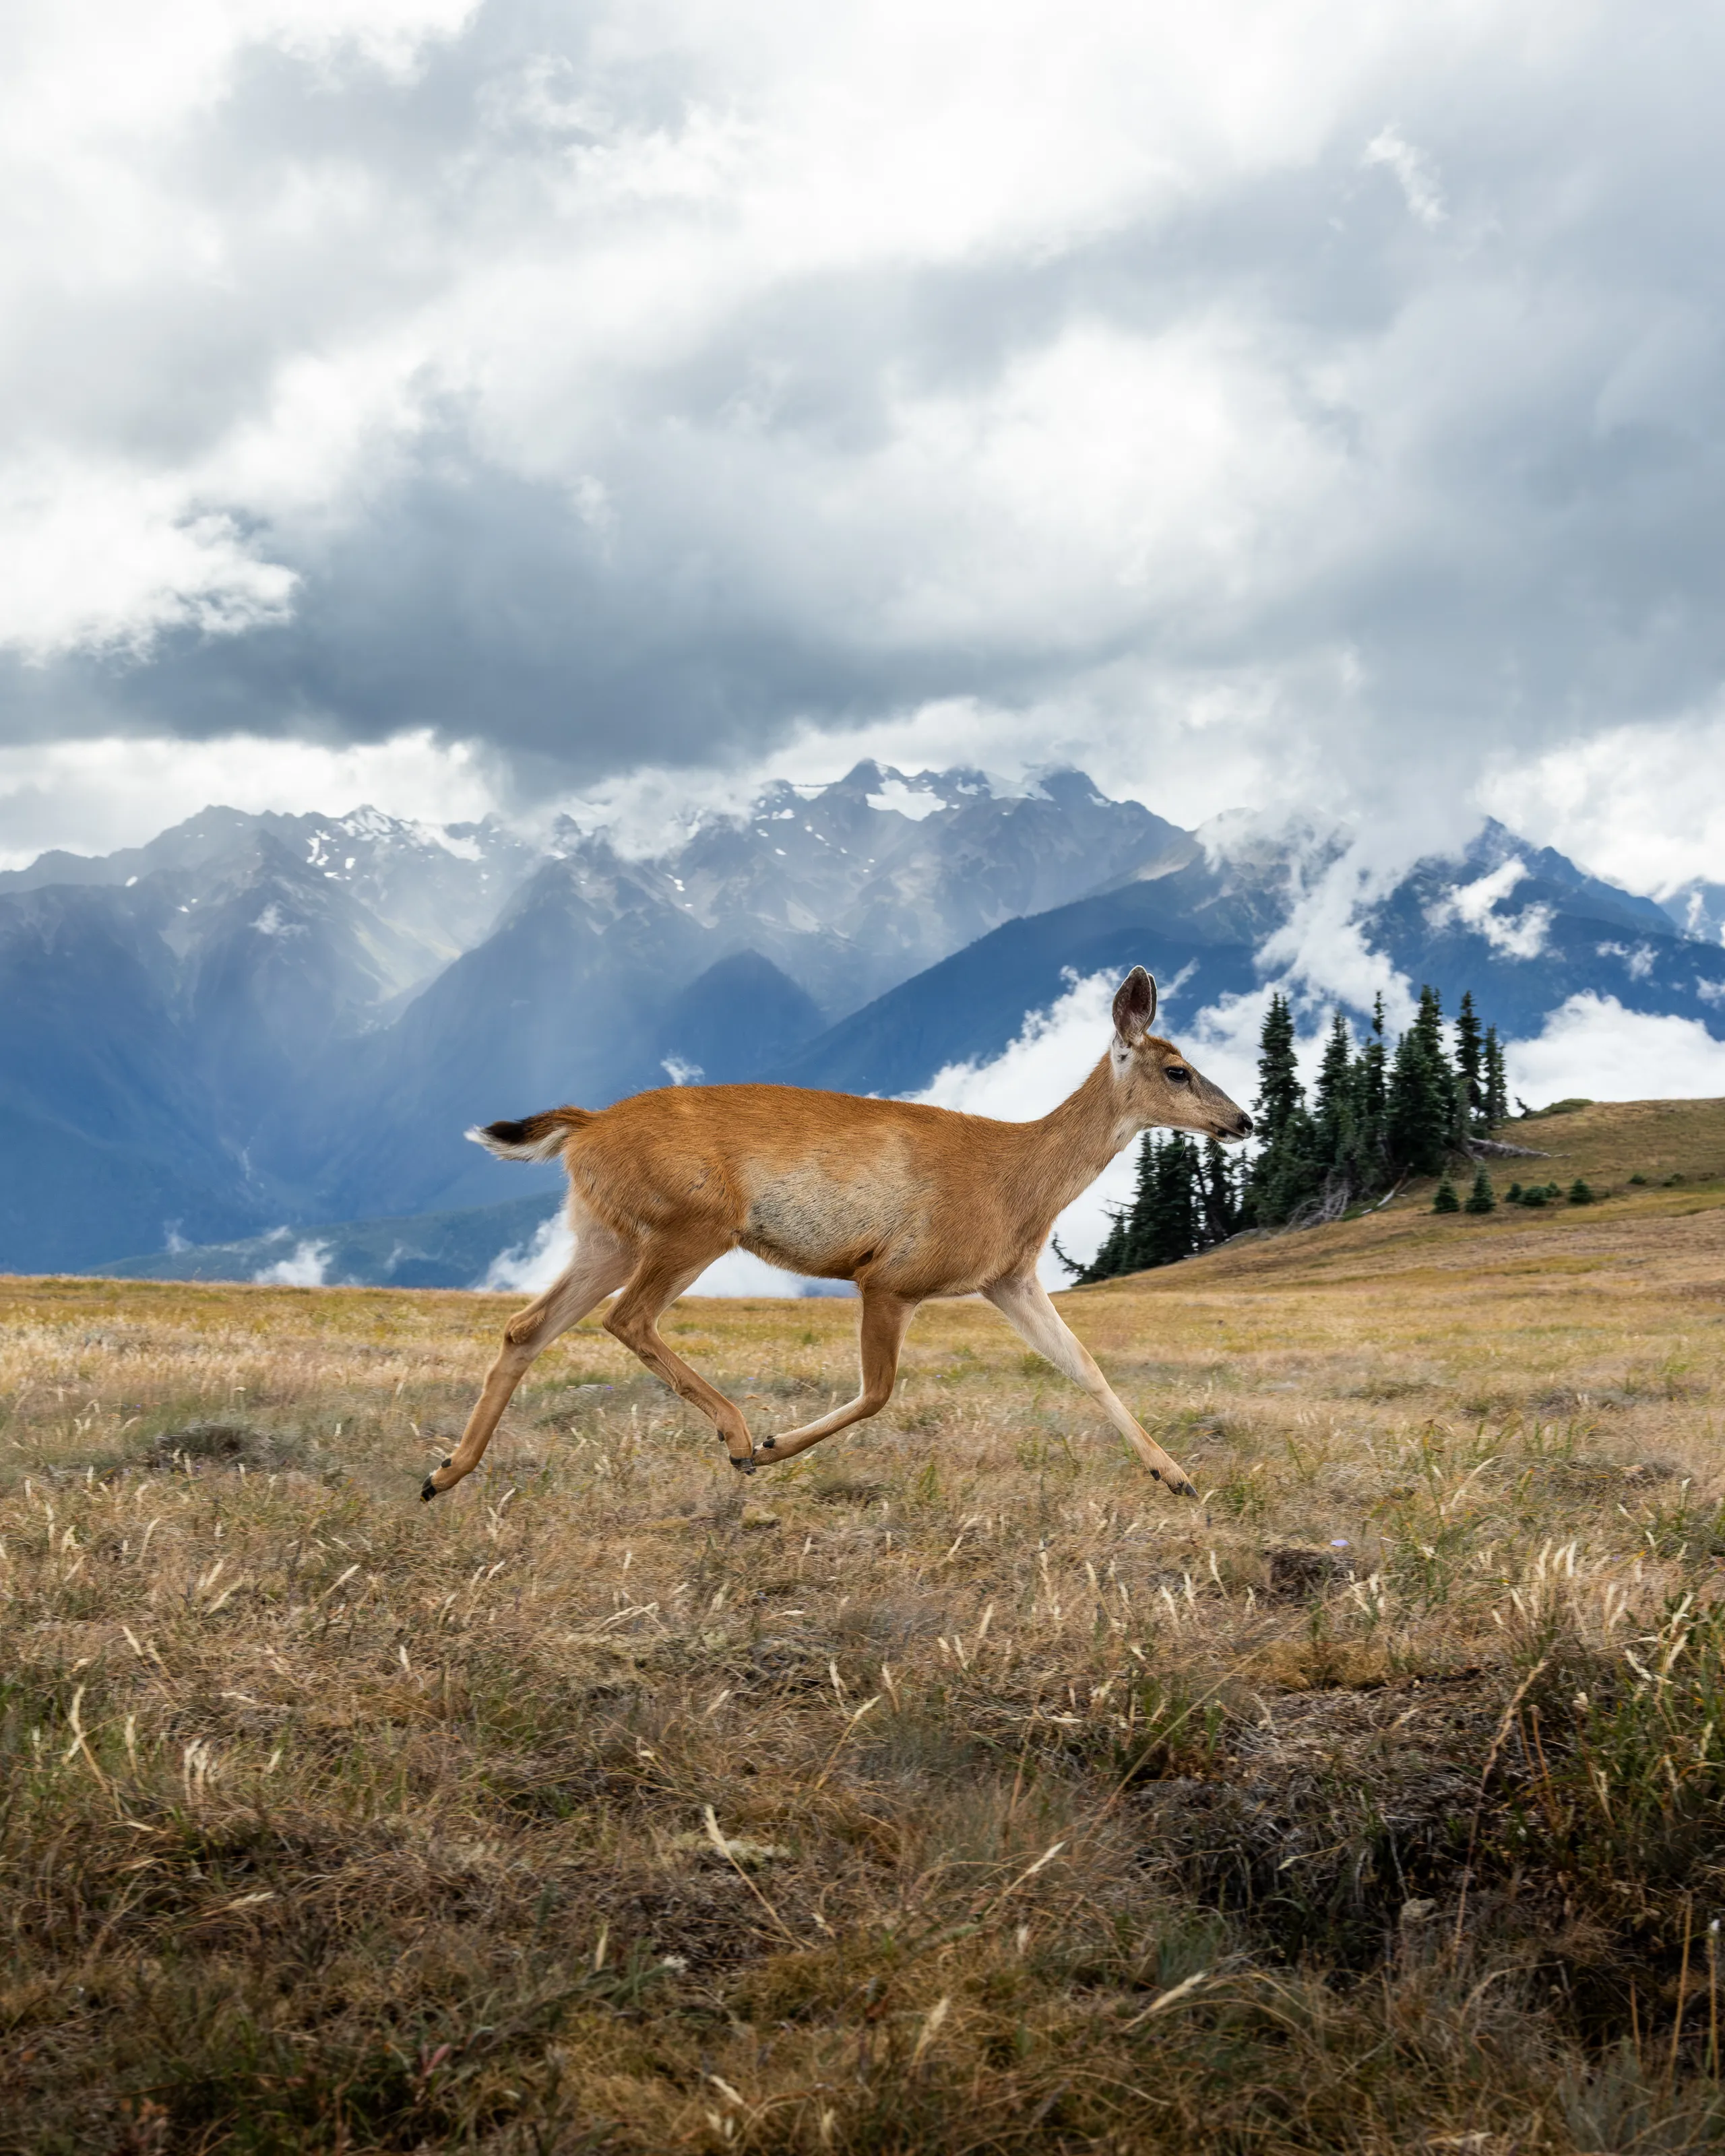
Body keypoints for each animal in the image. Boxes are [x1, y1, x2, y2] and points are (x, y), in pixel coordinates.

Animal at [420, 967, 1252, 1505]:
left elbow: (1085, 1366)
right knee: (628, 1317)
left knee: (526, 1326)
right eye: (1177, 1070)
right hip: (690, 1224)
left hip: (607, 1231)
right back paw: (736, 1435)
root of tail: (587, 1125)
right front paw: (771, 1448)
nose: (1242, 1121)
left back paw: (443, 1473)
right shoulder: (890, 1276)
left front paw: (1175, 1475)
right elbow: (878, 1392)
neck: (1017, 1181)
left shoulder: (1007, 1277)